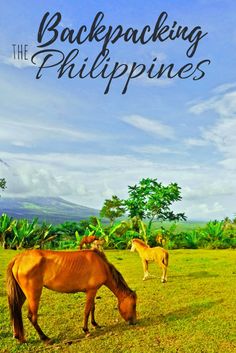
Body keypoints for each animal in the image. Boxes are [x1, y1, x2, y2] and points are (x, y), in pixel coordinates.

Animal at [6, 246, 136, 342]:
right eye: (134, 305)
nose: (134, 322)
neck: (101, 265)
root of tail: (19, 258)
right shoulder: (91, 291)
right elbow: (87, 310)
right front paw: (86, 330)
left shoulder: (93, 291)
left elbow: (92, 308)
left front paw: (95, 324)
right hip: (33, 295)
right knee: (31, 316)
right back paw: (45, 338)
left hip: (22, 294)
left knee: (15, 310)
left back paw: (17, 336)